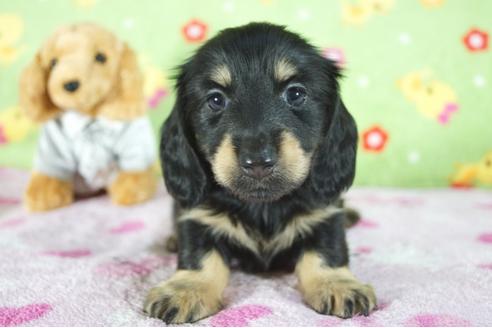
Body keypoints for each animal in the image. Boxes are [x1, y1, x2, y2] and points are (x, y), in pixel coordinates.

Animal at [143, 22, 376, 322]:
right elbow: (199, 256)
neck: (263, 206)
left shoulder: (326, 212)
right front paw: (186, 289)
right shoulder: (197, 216)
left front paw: (337, 283)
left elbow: (327, 250)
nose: (257, 161)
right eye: (215, 99)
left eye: (295, 94)